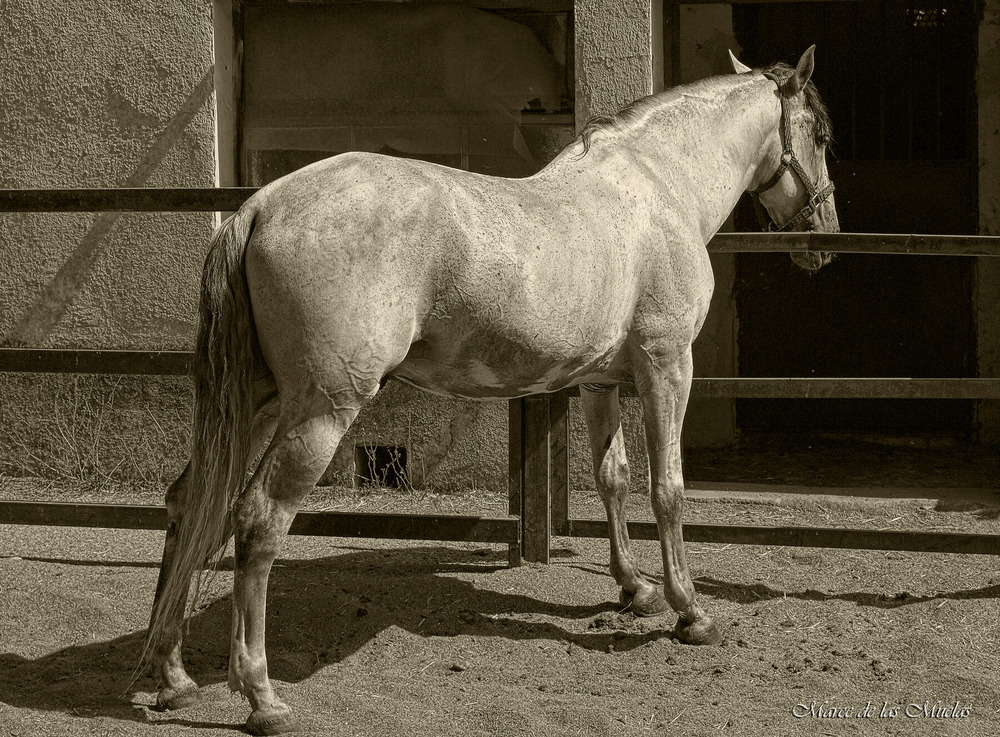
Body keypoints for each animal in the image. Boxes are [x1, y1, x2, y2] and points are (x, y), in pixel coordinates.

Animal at [146, 49, 836, 732]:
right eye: (823, 135)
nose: (825, 237)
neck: (658, 188)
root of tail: (259, 206)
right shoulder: (667, 367)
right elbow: (666, 489)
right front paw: (690, 611)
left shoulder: (599, 381)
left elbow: (611, 478)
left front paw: (634, 590)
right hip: (320, 411)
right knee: (259, 520)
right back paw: (261, 697)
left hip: (257, 406)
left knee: (191, 503)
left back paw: (171, 674)